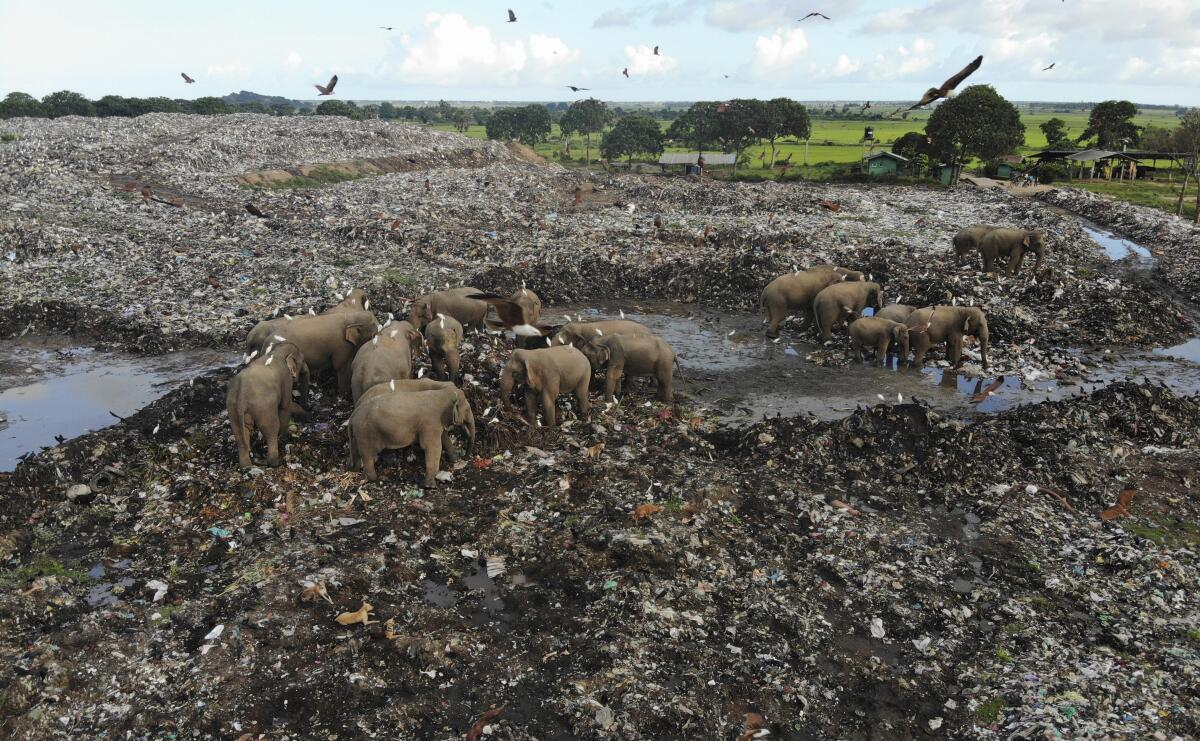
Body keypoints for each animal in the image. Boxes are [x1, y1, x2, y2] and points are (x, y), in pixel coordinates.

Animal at [250, 311, 381, 402]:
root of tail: (265, 345)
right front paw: (344, 394)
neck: (350, 317)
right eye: (373, 334)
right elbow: (341, 367)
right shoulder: (342, 347)